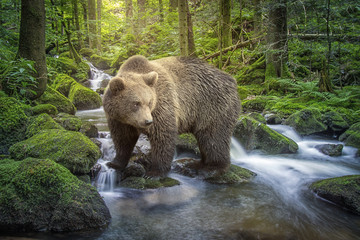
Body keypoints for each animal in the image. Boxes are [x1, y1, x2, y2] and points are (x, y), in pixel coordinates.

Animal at [102, 55, 240, 177]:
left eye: (149, 102)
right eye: (136, 103)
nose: (148, 121)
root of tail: (231, 79)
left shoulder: (162, 106)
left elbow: (162, 136)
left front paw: (155, 172)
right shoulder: (118, 120)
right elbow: (123, 139)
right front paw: (114, 163)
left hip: (212, 105)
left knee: (213, 137)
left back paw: (213, 168)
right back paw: (199, 164)